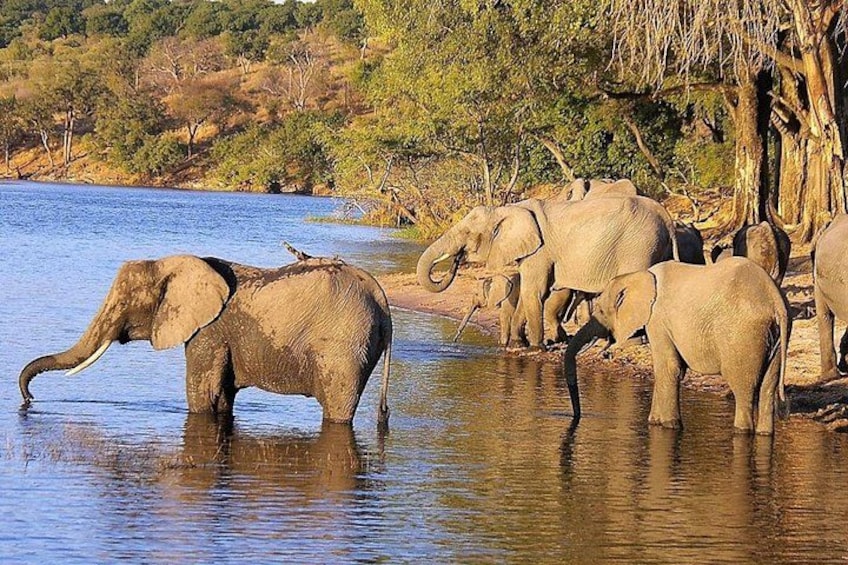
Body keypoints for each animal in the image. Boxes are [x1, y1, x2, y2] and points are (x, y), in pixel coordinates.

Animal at [19, 254, 393, 426]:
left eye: (124, 303)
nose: (29, 399)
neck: (171, 262)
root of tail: (382, 299)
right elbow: (222, 397)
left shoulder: (207, 333)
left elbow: (202, 395)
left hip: (343, 348)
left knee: (337, 411)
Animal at [417, 194, 679, 349]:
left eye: (467, 234)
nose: (456, 260)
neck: (507, 209)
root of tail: (667, 217)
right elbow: (527, 293)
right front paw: (519, 344)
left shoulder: (540, 251)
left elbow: (534, 291)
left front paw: (535, 348)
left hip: (639, 246)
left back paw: (629, 344)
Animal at [563, 258, 790, 434]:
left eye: (601, 312)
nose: (577, 416)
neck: (640, 275)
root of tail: (774, 299)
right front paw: (654, 423)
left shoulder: (658, 320)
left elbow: (669, 368)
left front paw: (670, 426)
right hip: (774, 340)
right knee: (768, 388)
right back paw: (764, 433)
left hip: (742, 337)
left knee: (744, 391)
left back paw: (742, 431)